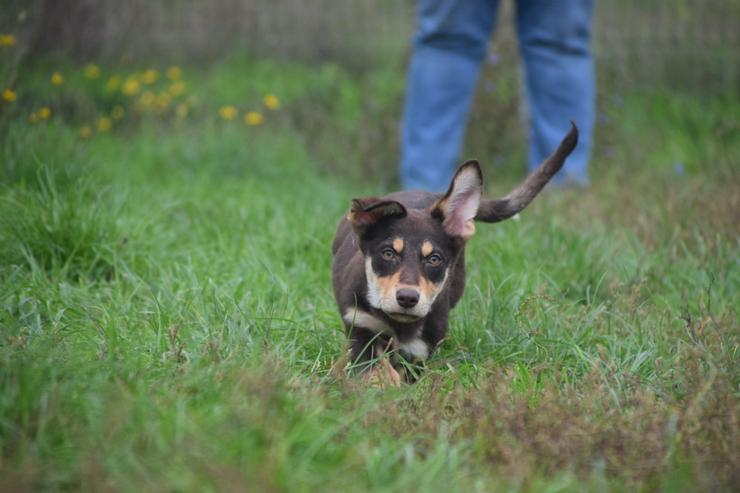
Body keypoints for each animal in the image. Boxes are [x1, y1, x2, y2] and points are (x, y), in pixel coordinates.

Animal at [330, 123, 580, 380]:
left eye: (434, 259)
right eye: (388, 253)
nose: (407, 298)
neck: (400, 325)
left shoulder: (420, 350)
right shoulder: (361, 328)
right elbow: (373, 371)